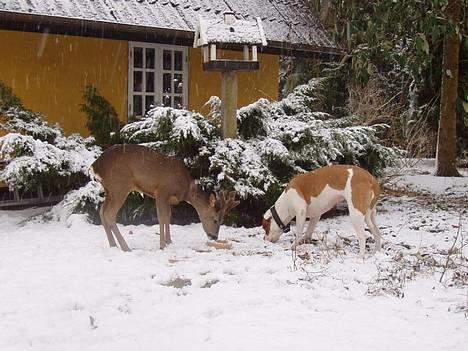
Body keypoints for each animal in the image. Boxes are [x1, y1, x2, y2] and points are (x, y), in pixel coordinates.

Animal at [89, 144, 239, 252]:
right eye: (215, 219)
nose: (214, 236)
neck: (185, 189)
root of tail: (95, 166)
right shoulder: (162, 192)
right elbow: (161, 218)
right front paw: (162, 245)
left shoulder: (169, 199)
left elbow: (168, 217)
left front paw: (169, 241)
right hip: (119, 185)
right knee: (109, 214)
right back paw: (126, 247)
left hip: (109, 190)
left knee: (102, 211)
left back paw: (113, 245)